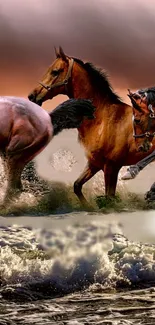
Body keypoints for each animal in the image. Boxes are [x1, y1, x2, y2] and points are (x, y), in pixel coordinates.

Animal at [28, 46, 155, 204]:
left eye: (55, 71)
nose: (32, 96)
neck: (102, 120)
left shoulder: (111, 167)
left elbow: (109, 198)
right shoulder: (94, 164)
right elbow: (77, 186)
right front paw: (89, 206)